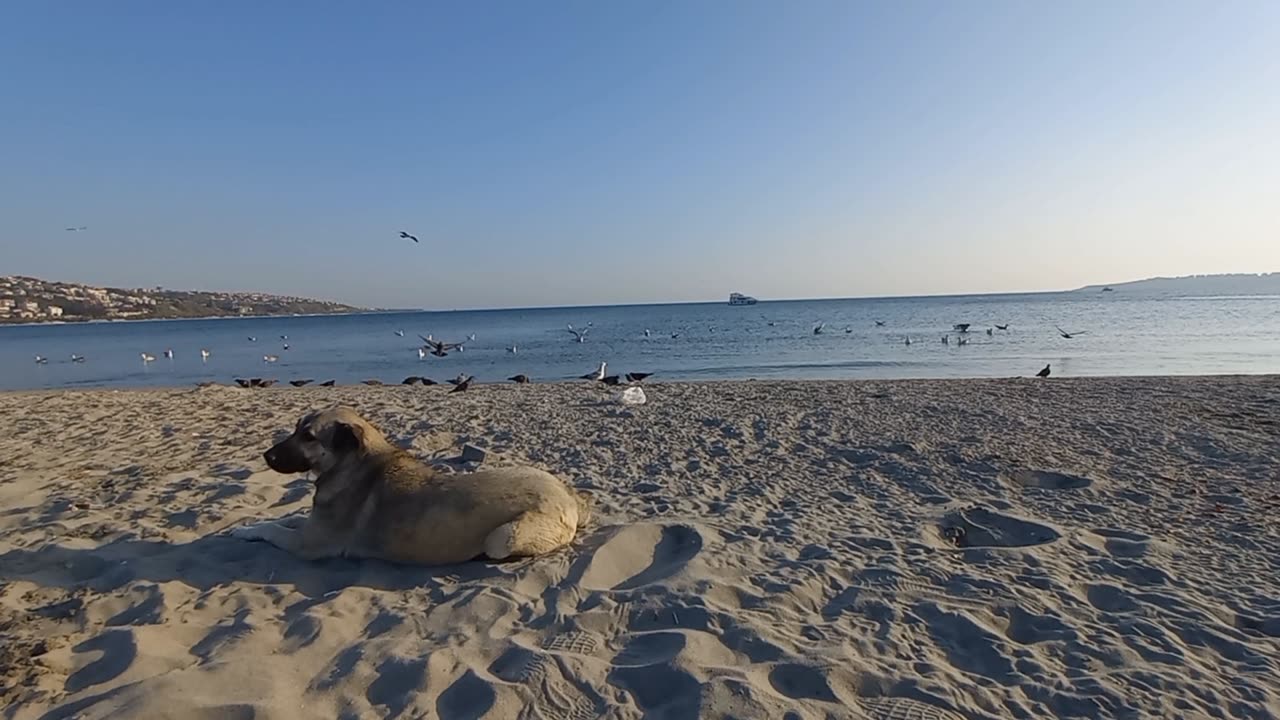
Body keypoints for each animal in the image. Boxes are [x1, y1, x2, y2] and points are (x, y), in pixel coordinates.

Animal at [230, 407, 588, 563]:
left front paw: (247, 530)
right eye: (296, 428)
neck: (354, 464)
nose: (266, 455)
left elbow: (275, 529)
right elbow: (287, 518)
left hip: (501, 538)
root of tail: (567, 496)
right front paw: (250, 524)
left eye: (309, 436)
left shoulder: (308, 544)